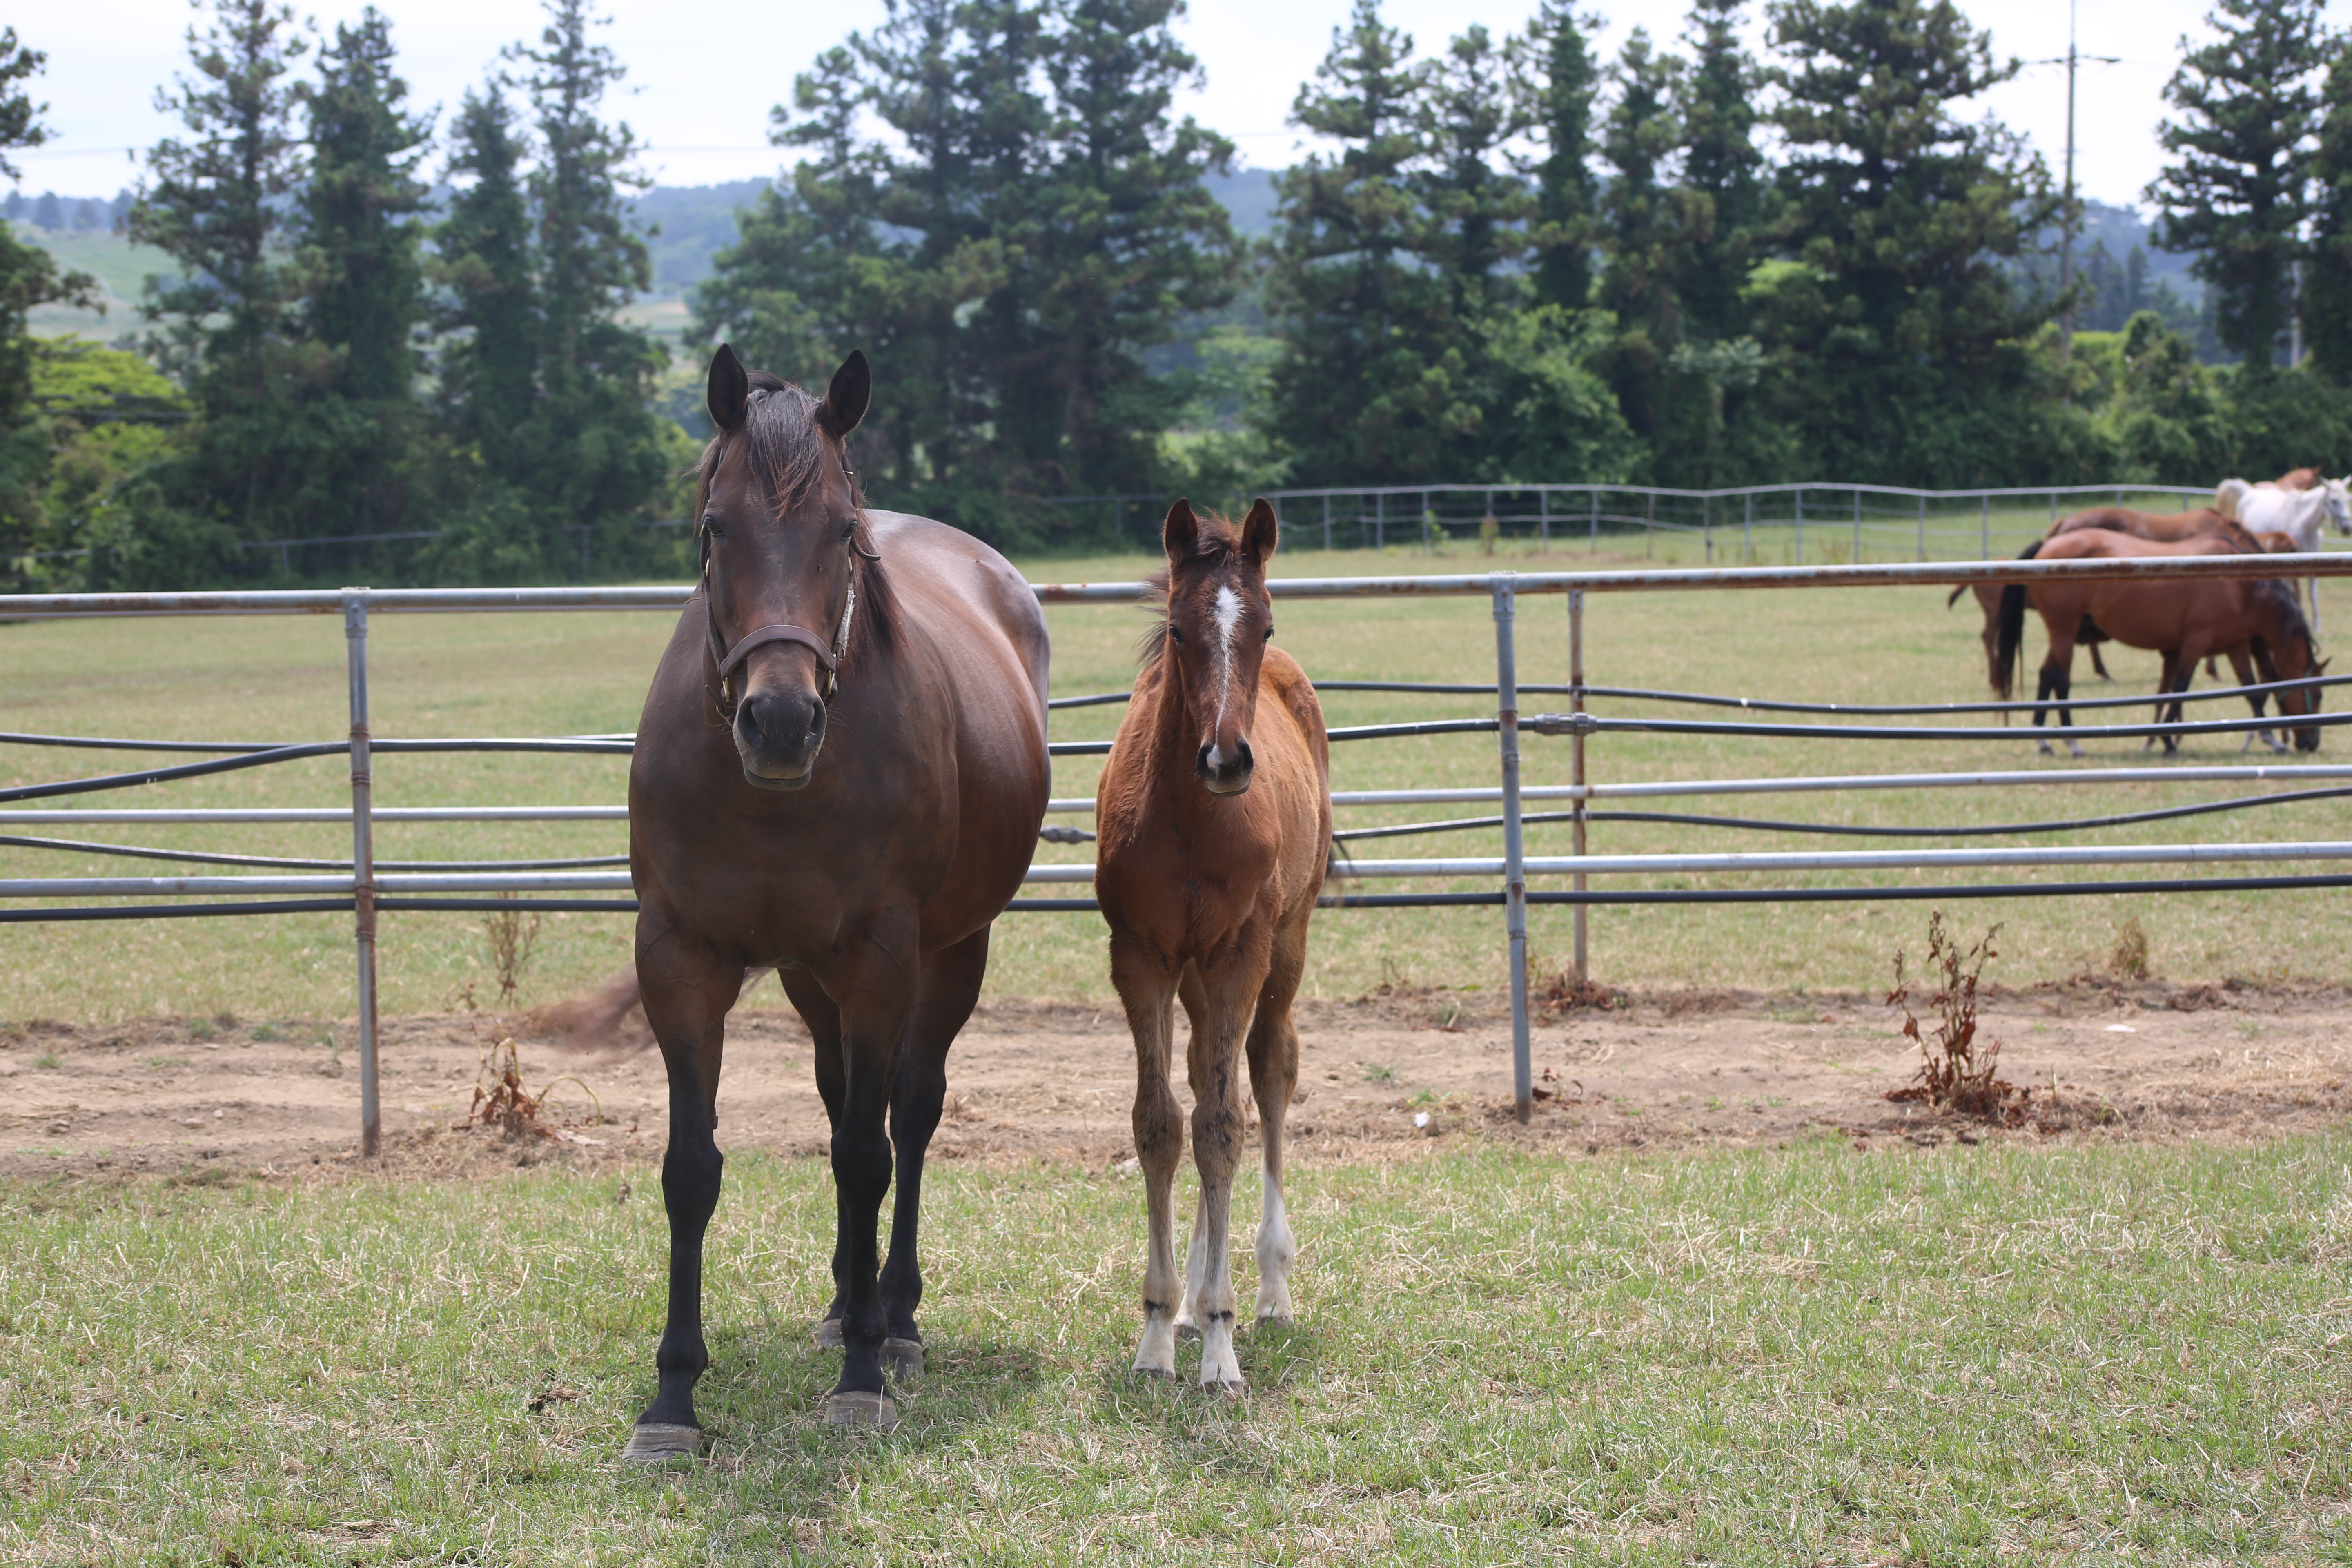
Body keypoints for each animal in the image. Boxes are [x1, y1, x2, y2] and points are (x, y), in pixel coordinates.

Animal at [621, 343, 1044, 1448]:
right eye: (713, 527)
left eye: (842, 535)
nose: (779, 721)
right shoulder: (679, 958)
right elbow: (692, 1166)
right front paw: (673, 1395)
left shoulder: (882, 960)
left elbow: (866, 1155)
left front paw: (862, 1377)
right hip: (811, 981)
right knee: (840, 1098)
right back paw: (842, 1299)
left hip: (949, 956)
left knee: (907, 1114)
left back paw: (890, 1316)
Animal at [1096, 496, 1336, 1392]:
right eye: (1177, 628)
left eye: (1263, 625)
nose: (1228, 760)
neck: (1191, 820)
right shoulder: (1142, 956)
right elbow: (1164, 1124)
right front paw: (1161, 1328)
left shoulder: (1239, 952)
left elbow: (1227, 1127)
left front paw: (1223, 1346)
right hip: (1196, 976)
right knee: (1206, 1082)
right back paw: (1196, 1300)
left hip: (1285, 943)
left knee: (1267, 1071)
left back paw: (1268, 1287)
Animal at [1994, 531, 2323, 757]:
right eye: (2318, 695)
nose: (2312, 743)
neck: (2243, 587)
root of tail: (2048, 546)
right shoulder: (2196, 642)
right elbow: (2180, 689)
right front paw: (2168, 741)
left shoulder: (2235, 646)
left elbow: (2252, 692)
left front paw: (2270, 738)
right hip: (2064, 631)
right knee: (2061, 680)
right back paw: (2072, 741)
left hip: (2064, 634)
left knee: (2047, 675)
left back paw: (2043, 739)